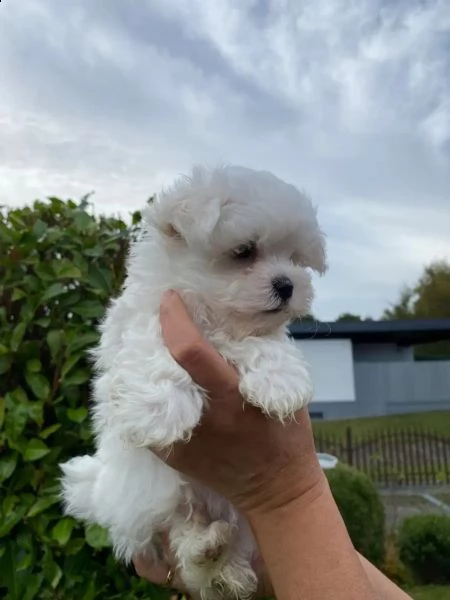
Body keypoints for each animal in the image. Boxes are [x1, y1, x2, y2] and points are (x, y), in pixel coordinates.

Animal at [59, 164, 326, 600]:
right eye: (244, 251)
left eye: (293, 259)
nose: (287, 285)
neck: (214, 317)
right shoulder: (149, 318)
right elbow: (154, 348)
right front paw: (159, 411)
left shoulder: (249, 332)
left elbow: (265, 342)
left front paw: (281, 382)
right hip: (156, 498)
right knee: (180, 539)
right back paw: (206, 547)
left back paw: (224, 563)